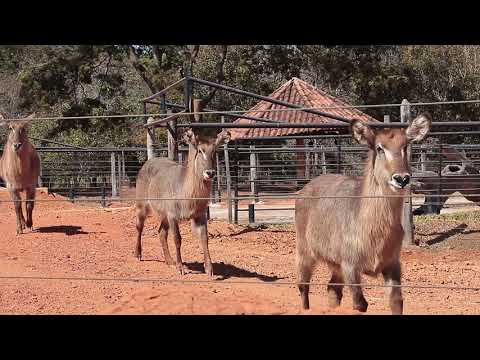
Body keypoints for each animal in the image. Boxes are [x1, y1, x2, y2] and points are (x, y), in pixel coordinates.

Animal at [134, 128, 232, 278]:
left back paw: (170, 261)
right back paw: (138, 254)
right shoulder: (173, 215)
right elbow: (177, 239)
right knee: (139, 227)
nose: (210, 173)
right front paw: (180, 268)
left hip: (164, 216)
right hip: (142, 206)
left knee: (161, 233)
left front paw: (209, 269)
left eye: (214, 150)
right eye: (200, 150)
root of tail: (147, 163)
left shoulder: (199, 216)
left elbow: (204, 238)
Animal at [294, 114, 434, 314]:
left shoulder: (392, 264)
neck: (374, 229)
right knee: (303, 286)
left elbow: (396, 300)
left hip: (335, 265)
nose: (401, 179)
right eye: (379, 148)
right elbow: (360, 303)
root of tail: (307, 187)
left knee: (332, 289)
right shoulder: (350, 266)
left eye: (405, 146)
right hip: (305, 252)